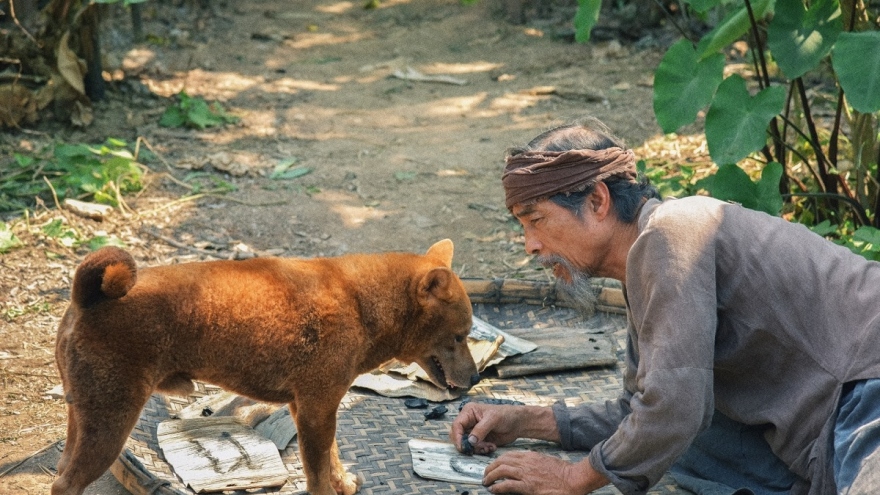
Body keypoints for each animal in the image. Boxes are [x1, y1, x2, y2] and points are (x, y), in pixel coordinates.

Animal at [51, 240, 478, 495]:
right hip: (110, 424)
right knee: (65, 485)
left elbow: (333, 457)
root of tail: (87, 297)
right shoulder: (316, 408)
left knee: (61, 470)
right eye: (460, 336)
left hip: (83, 419)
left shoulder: (312, 407)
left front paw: (342, 481)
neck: (360, 304)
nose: (475, 378)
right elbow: (317, 471)